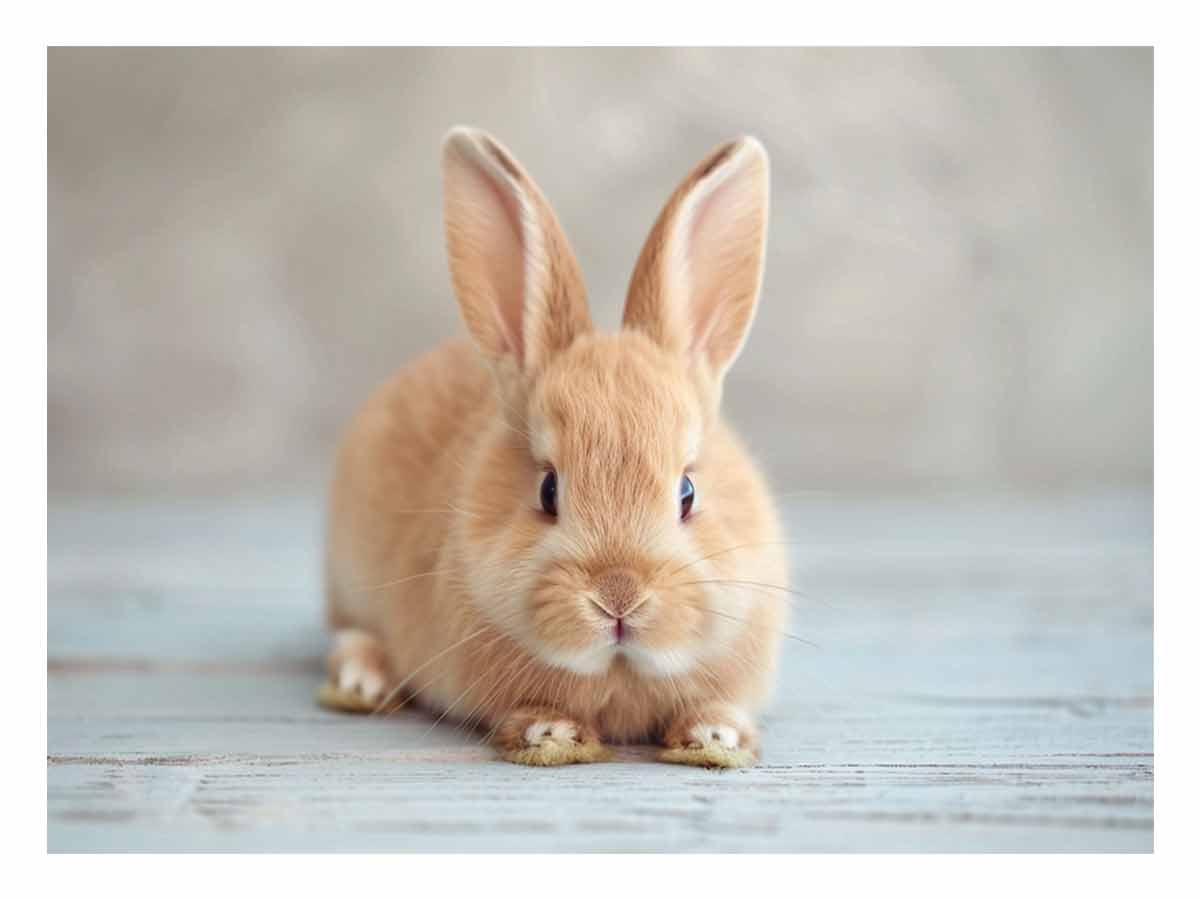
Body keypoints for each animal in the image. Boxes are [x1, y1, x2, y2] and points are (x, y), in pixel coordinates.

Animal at [320, 126, 787, 768]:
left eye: (688, 493)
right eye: (548, 489)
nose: (619, 598)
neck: (620, 675)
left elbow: (716, 707)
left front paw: (715, 738)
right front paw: (551, 735)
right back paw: (361, 681)